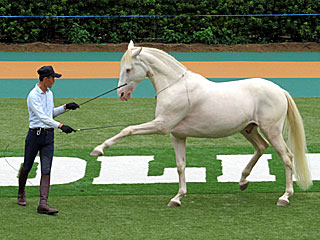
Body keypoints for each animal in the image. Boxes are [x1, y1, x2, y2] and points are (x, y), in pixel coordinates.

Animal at [90, 40, 312, 206]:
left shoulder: (161, 126)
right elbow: (180, 165)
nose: (122, 94)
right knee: (261, 147)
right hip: (248, 129)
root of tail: (280, 90)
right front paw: (177, 198)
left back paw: (285, 196)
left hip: (271, 130)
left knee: (287, 157)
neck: (175, 86)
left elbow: (127, 130)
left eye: (128, 69)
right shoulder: (177, 135)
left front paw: (98, 150)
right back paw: (242, 181)